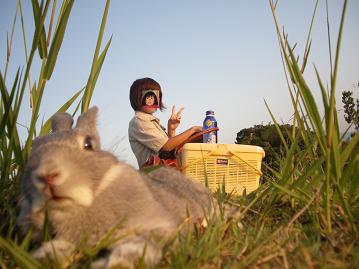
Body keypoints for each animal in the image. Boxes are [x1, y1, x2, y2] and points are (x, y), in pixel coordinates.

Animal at [17, 105, 217, 266]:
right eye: (34, 146)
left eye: (88, 144)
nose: (47, 175)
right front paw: (44, 259)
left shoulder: (155, 228)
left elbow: (135, 248)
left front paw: (115, 264)